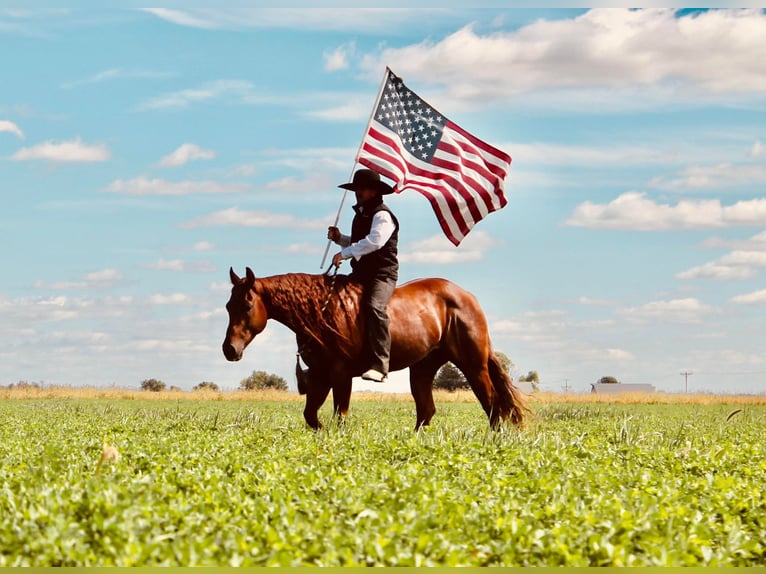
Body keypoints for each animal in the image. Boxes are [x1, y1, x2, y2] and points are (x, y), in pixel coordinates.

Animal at [222, 270, 528, 432]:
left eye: (247, 304)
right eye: (228, 305)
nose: (229, 349)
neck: (322, 311)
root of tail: (467, 298)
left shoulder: (340, 374)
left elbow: (340, 415)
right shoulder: (320, 375)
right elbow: (311, 415)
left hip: (473, 365)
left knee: (492, 403)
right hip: (422, 369)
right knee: (426, 410)